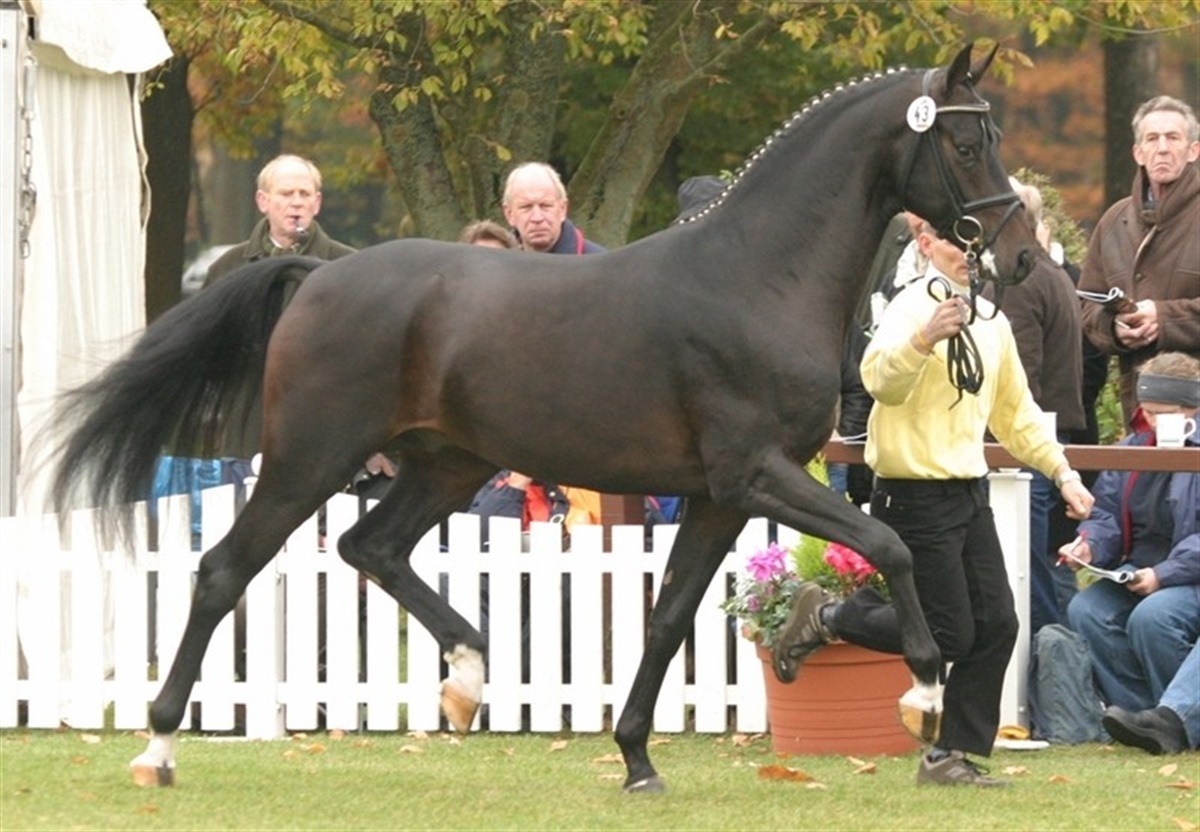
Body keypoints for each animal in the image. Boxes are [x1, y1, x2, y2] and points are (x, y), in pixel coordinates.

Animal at [51, 43, 1037, 793]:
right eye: (964, 142)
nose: (1022, 256)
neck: (758, 275)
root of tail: (316, 274)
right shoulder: (760, 474)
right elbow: (892, 547)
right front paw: (923, 706)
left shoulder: (718, 496)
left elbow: (668, 616)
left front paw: (636, 759)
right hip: (309, 461)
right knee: (223, 571)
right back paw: (158, 748)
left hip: (443, 463)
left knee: (372, 547)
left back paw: (465, 678)